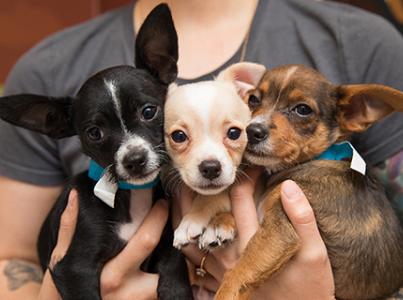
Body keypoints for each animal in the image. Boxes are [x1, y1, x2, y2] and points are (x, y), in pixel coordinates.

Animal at [0, 4, 193, 300]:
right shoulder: (73, 268)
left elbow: (174, 258)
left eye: (149, 111)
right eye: (94, 132)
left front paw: (176, 290)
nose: (135, 160)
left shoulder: (163, 240)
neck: (131, 195)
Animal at [218, 63, 403, 300]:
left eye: (303, 110)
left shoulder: (280, 229)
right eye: (253, 100)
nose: (251, 130)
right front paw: (218, 222)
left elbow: (240, 270)